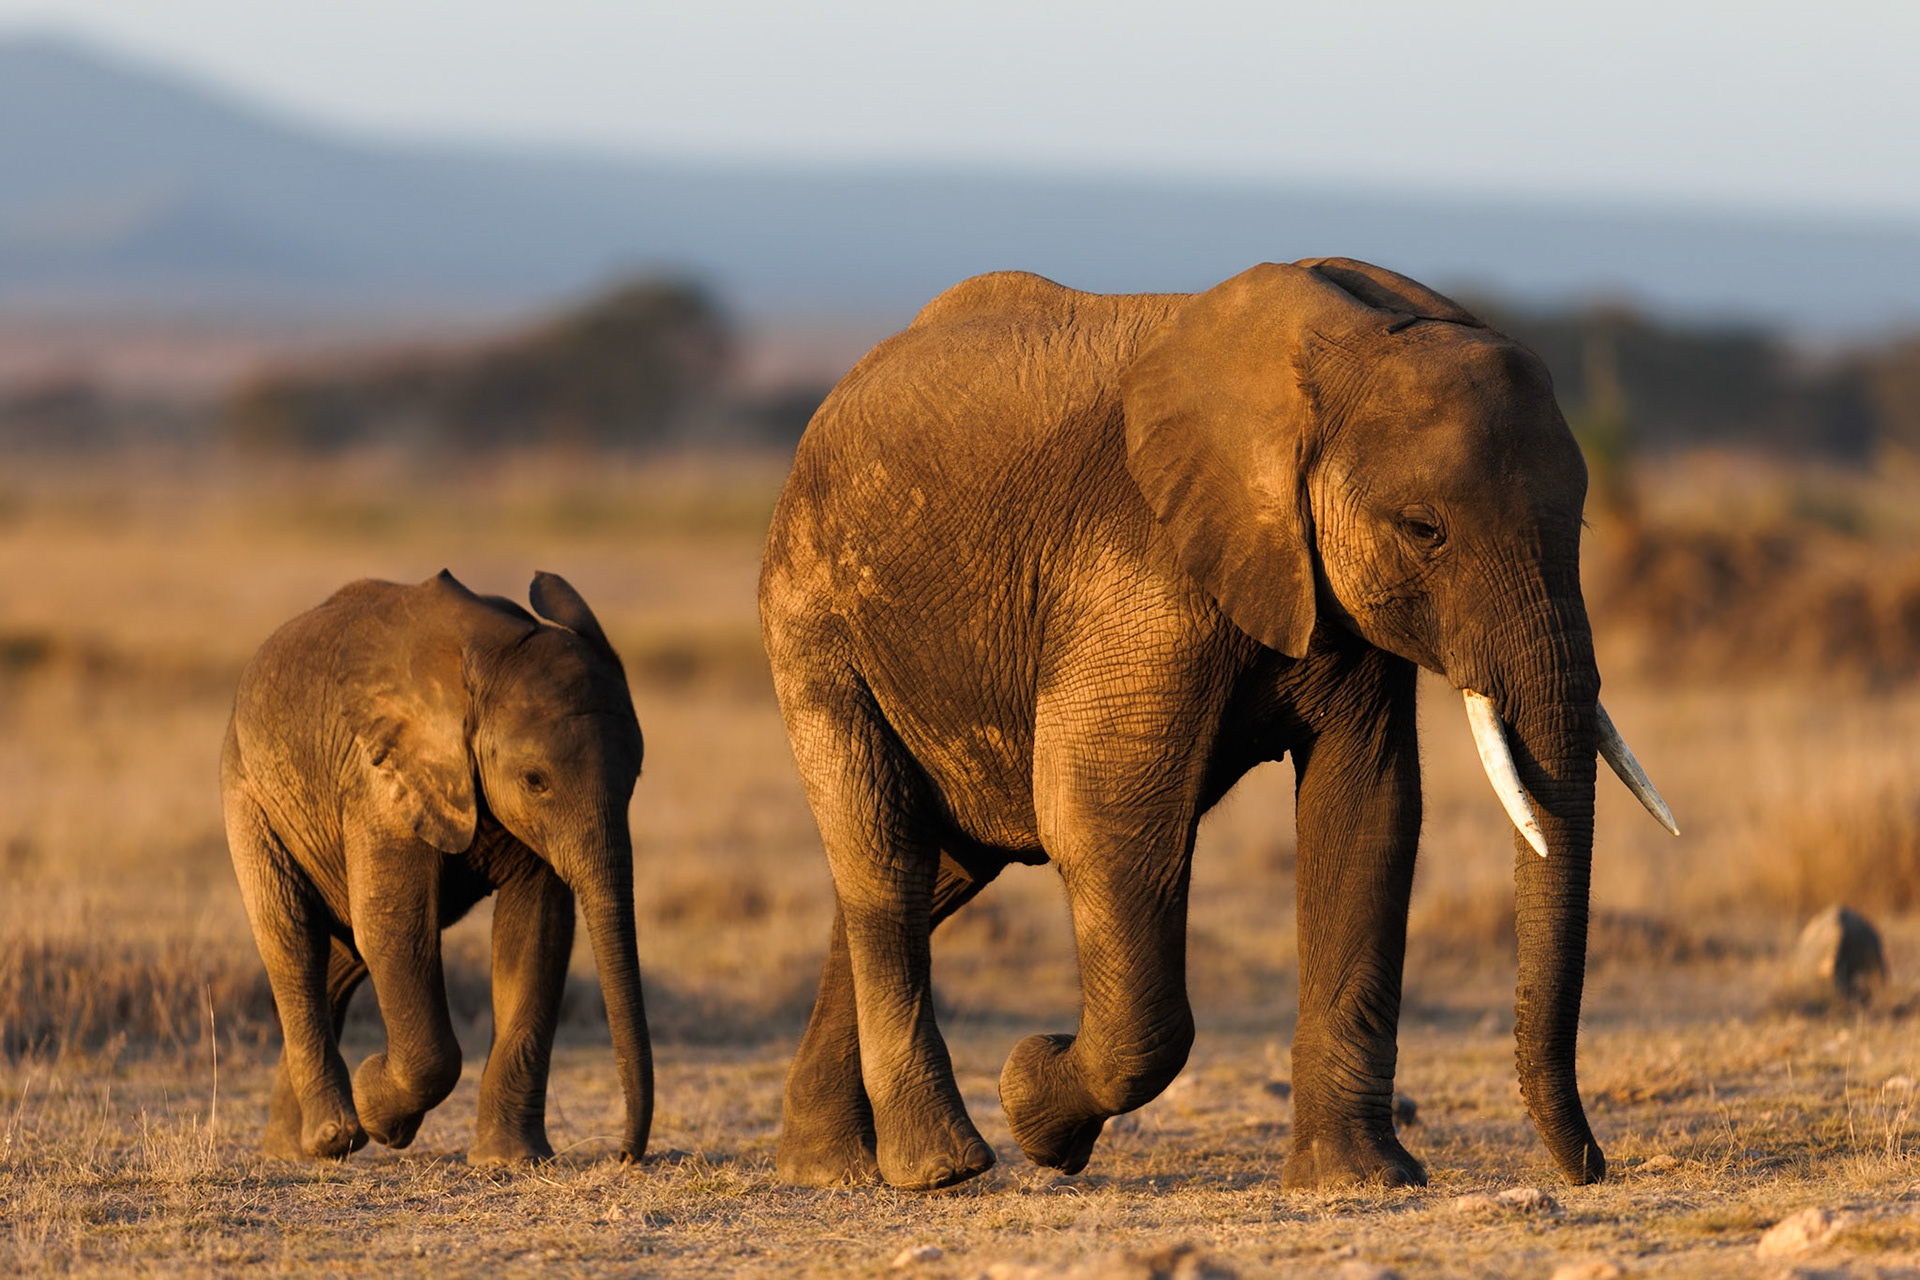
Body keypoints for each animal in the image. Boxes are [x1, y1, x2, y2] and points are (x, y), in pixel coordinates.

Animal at [221, 569, 652, 1166]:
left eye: (636, 776)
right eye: (535, 780)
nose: (623, 1155)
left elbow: (535, 932)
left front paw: (509, 1161)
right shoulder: (380, 778)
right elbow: (394, 927)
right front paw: (381, 1115)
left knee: (342, 956)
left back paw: (295, 1149)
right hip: (248, 795)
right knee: (293, 942)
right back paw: (334, 1134)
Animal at [759, 258, 1677, 1192]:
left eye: (1580, 524)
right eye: (1426, 530)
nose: (1591, 1166)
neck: (1328, 361)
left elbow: (1368, 811)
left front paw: (1359, 1180)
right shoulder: (1138, 565)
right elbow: (1100, 818)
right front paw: (1033, 1104)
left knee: (935, 867)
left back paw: (826, 1164)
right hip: (812, 620)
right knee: (884, 858)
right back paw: (940, 1167)